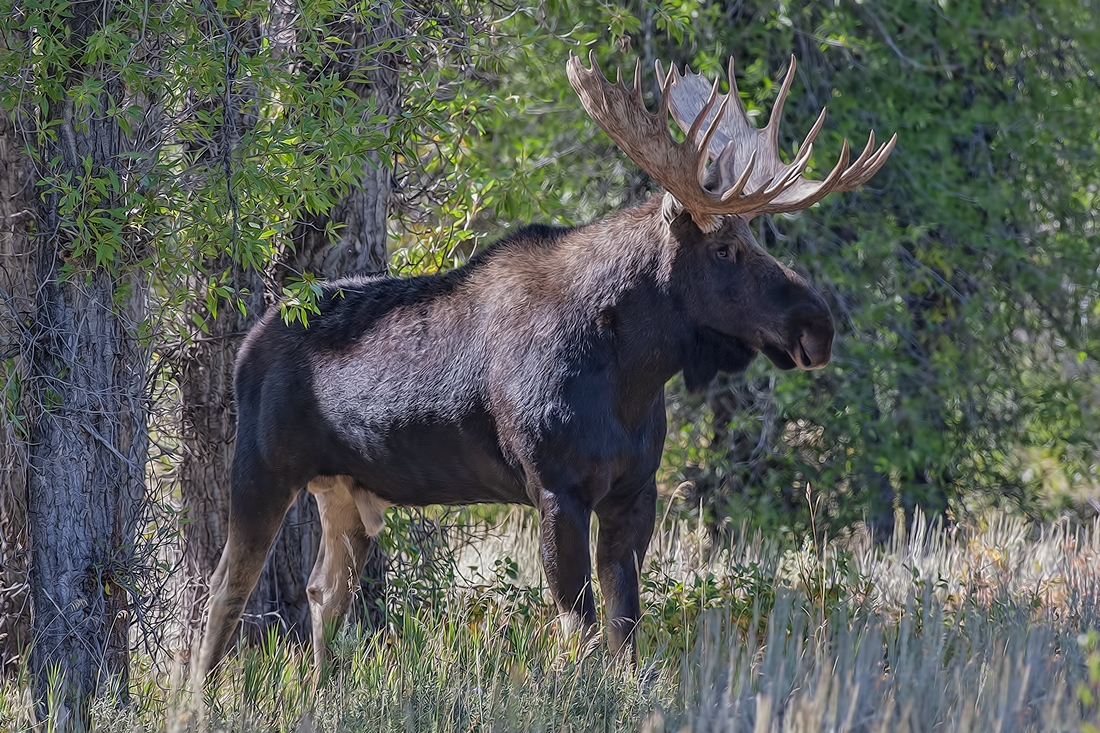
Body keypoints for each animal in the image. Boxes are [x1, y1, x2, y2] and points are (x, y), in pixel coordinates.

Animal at [198, 50, 897, 673]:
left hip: (347, 489)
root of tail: (250, 342)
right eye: (724, 248)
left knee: (324, 592)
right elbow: (578, 625)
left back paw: (321, 690)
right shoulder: (557, 486)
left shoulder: (634, 489)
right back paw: (202, 697)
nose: (817, 326)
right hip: (262, 468)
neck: (630, 378)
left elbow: (624, 626)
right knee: (225, 590)